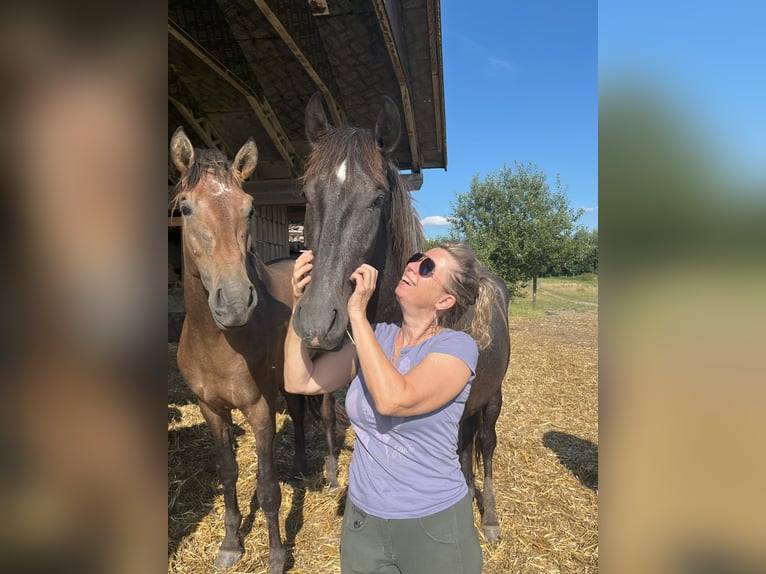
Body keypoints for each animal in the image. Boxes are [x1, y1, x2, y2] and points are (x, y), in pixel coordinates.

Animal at [171, 128, 318, 572]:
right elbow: (229, 473)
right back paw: (300, 465)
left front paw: (276, 556)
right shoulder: (211, 409)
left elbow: (268, 487)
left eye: (250, 208)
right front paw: (231, 544)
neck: (218, 342)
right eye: (185, 207)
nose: (235, 303)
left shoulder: (259, 409)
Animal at [294, 94, 516, 544]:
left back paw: (488, 516)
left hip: (493, 398)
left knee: (485, 443)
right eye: (307, 194)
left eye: (378, 199)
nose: (315, 322)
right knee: (464, 445)